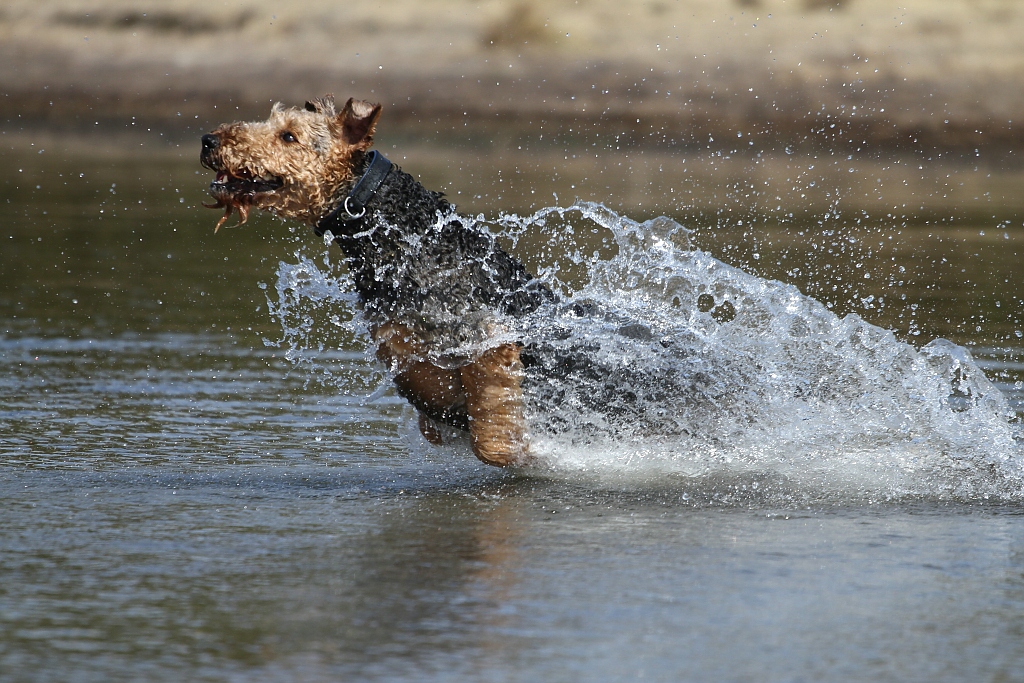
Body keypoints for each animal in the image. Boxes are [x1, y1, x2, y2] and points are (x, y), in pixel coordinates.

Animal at [197, 96, 561, 466]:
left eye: (289, 136)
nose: (208, 141)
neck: (404, 234)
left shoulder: (486, 336)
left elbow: (492, 435)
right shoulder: (398, 341)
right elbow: (429, 400)